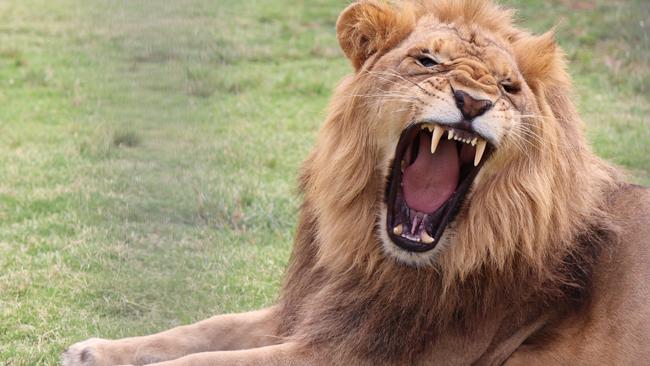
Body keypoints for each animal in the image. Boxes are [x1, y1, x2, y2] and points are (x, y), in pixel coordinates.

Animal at [64, 0, 648, 366]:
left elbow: (208, 359)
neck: (373, 256)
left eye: (508, 88)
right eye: (427, 60)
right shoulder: (312, 310)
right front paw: (94, 351)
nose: (473, 101)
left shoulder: (354, 352)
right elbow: (207, 328)